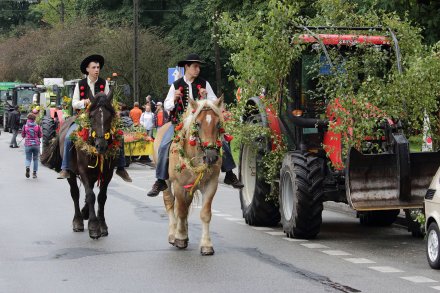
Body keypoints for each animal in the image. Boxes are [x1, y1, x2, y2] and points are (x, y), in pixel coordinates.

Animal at [52, 91, 117, 237]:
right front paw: (93, 226)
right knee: (75, 193)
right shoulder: (84, 172)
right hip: (71, 173)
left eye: (110, 116)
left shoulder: (107, 174)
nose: (101, 145)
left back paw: (85, 212)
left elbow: (101, 197)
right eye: (91, 116)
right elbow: (90, 196)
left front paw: (102, 225)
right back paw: (78, 220)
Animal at [154, 97, 223, 254]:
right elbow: (181, 210)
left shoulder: (211, 184)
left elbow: (205, 213)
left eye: (218, 123)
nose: (211, 156)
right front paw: (179, 237)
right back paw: (173, 234)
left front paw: (206, 244)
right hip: (167, 183)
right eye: (197, 124)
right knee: (170, 203)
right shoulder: (179, 185)